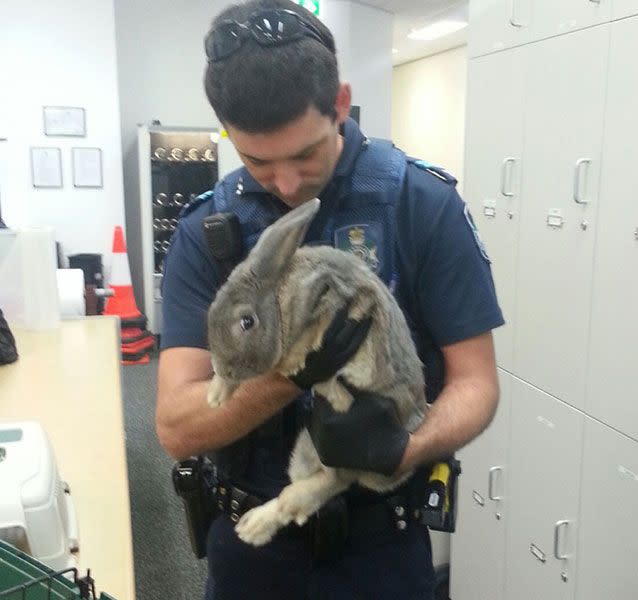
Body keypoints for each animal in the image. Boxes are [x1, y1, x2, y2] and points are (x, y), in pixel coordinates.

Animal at [208, 199, 428, 548]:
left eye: (247, 321)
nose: (223, 367)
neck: (277, 299)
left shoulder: (332, 302)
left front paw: (302, 367)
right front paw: (215, 396)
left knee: (329, 483)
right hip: (308, 448)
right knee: (323, 484)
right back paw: (253, 526)